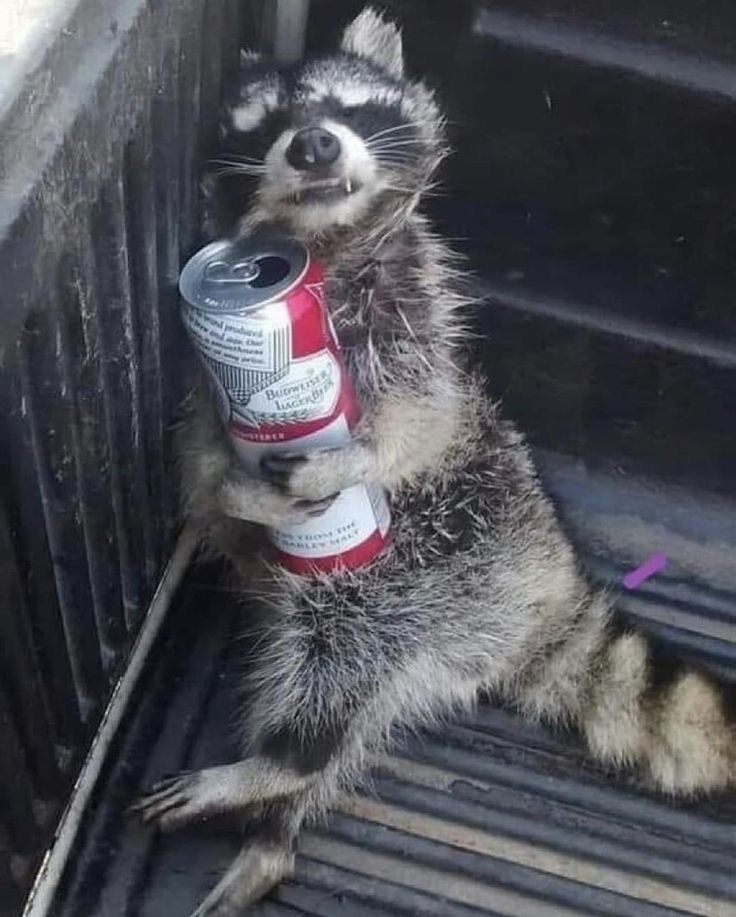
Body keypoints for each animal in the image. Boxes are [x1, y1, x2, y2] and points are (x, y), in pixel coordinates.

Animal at [134, 8, 736, 916]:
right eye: (264, 126)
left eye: (345, 106)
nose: (314, 144)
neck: (324, 245)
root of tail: (549, 583)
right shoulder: (208, 387)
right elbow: (202, 467)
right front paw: (243, 493)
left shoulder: (414, 320)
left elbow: (419, 425)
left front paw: (345, 459)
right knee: (351, 697)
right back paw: (275, 828)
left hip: (439, 565)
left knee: (340, 649)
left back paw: (283, 765)